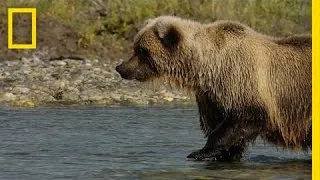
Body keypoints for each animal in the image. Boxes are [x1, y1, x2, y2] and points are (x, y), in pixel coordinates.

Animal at [115, 16, 312, 161]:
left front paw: (199, 152)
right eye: (135, 47)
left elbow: (244, 119)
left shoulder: (242, 81)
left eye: (141, 50)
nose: (121, 68)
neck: (209, 68)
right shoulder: (211, 97)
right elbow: (223, 129)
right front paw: (225, 154)